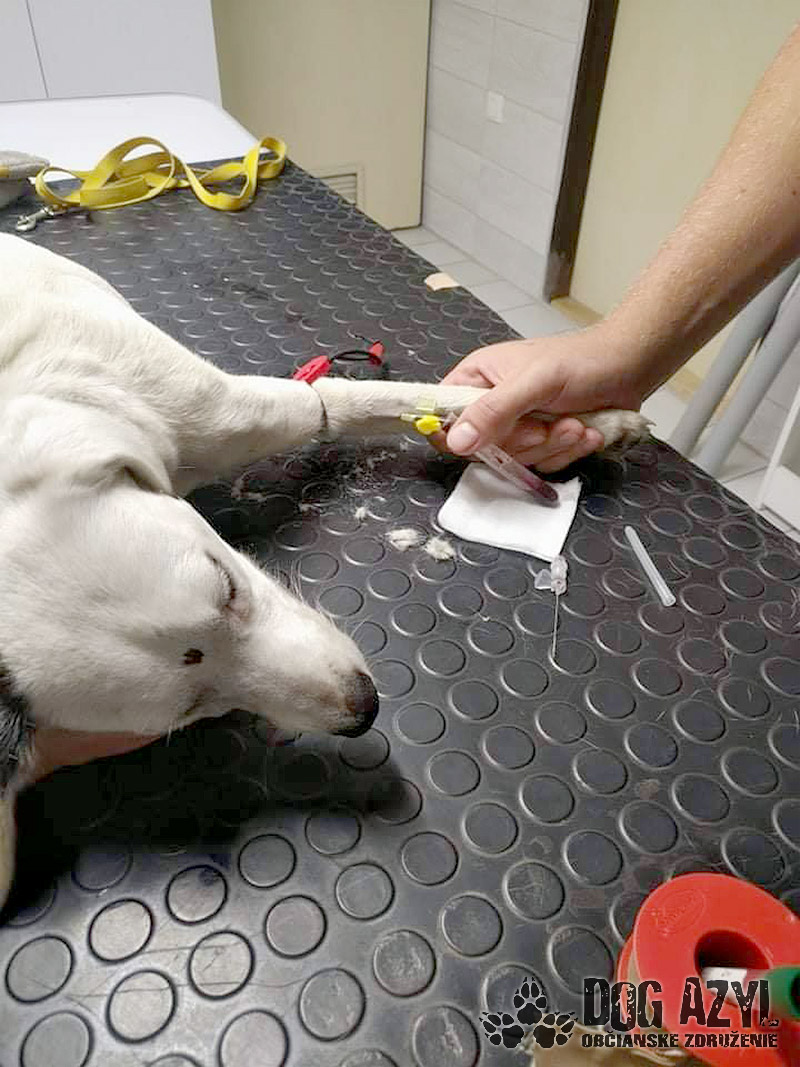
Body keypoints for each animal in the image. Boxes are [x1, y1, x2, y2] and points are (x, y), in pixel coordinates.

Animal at [0, 233, 647, 905]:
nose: (364, 709)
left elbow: (371, 399)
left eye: (228, 588)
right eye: (188, 710)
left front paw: (593, 420)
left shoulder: (234, 404)